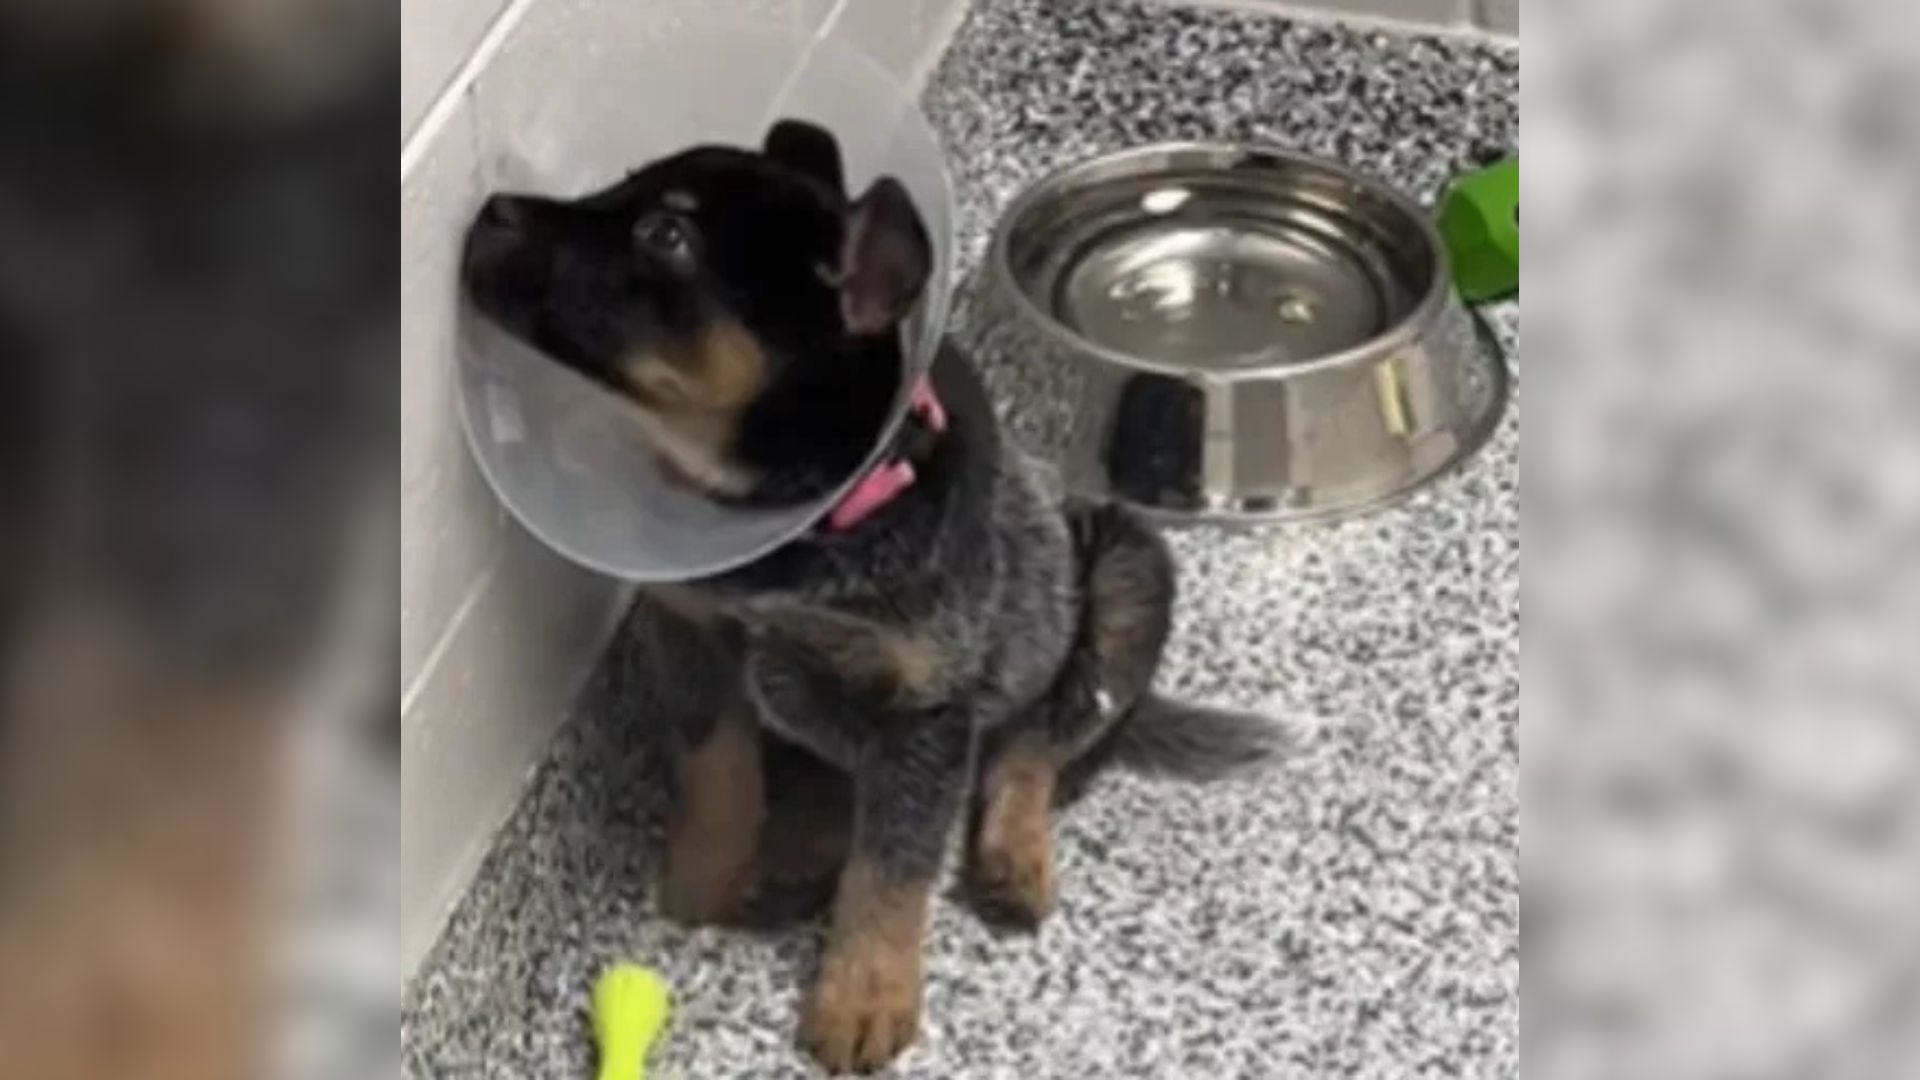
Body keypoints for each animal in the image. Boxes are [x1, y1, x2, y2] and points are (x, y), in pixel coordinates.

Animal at [460, 119, 1290, 1068]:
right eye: (625, 186)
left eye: (666, 238)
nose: (492, 210)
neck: (805, 523)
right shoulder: (696, 639)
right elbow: (718, 772)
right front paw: (702, 881)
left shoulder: (927, 713)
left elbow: (892, 870)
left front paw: (863, 999)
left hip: (1127, 573)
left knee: (1034, 745)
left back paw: (1012, 859)